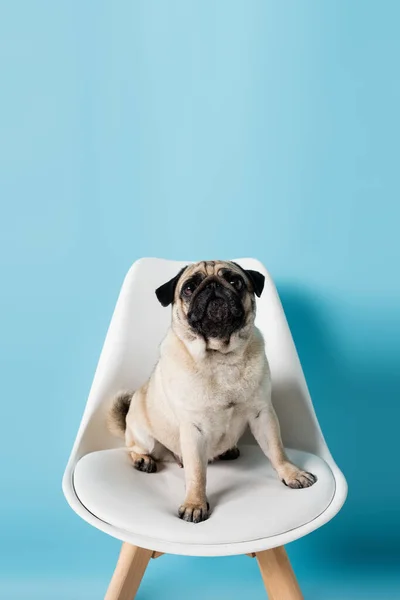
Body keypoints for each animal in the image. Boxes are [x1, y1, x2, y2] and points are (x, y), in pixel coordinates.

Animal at [108, 260, 316, 524]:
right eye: (189, 288)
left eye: (235, 281)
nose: (213, 286)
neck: (221, 357)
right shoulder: (194, 428)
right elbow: (197, 473)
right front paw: (195, 504)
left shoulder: (263, 414)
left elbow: (277, 450)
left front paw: (291, 474)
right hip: (144, 435)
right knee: (133, 448)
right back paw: (142, 460)